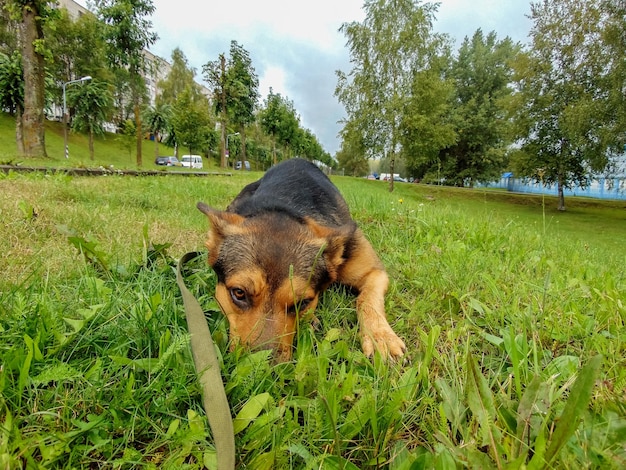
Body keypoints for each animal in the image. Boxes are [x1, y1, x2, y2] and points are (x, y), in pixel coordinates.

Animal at [197, 160, 408, 362]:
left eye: (302, 303)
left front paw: (381, 337)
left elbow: (366, 299)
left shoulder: (374, 272)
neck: (284, 204)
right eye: (239, 293)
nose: (259, 368)